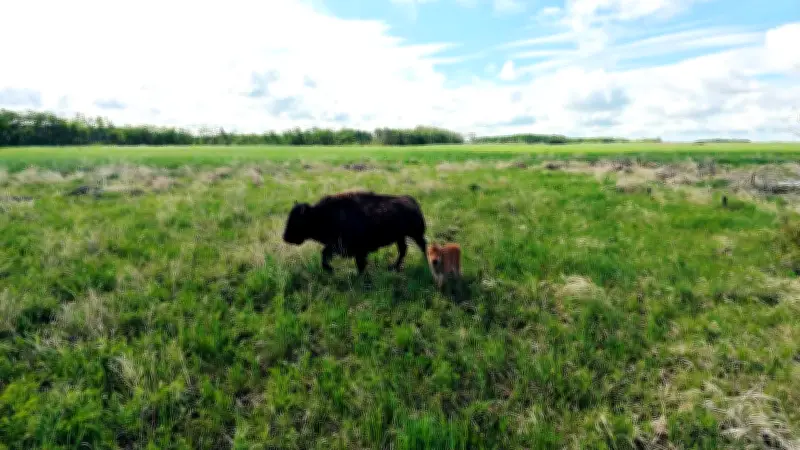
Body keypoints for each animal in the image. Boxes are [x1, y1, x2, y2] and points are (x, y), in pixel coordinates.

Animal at [282, 191, 428, 274]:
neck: (321, 215)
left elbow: (357, 262)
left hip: (415, 234)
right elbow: (325, 254)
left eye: (297, 220)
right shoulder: (338, 247)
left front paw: (332, 270)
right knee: (403, 250)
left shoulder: (353, 249)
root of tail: (412, 201)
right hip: (401, 237)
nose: (285, 237)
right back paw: (393, 267)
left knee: (422, 245)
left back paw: (425, 261)